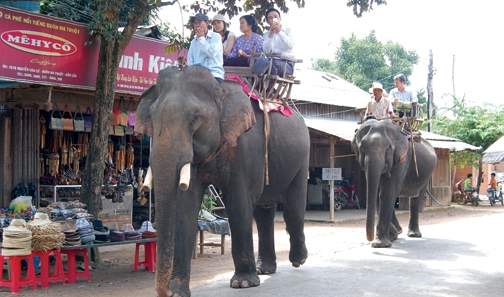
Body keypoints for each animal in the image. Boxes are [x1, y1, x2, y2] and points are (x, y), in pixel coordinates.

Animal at [134, 66, 310, 296]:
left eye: (196, 117)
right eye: (153, 119)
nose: (166, 292)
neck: (221, 89)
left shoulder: (245, 145)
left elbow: (237, 201)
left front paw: (243, 283)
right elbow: (184, 207)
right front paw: (178, 291)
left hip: (303, 156)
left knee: (293, 207)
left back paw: (299, 260)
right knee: (264, 210)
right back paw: (265, 269)